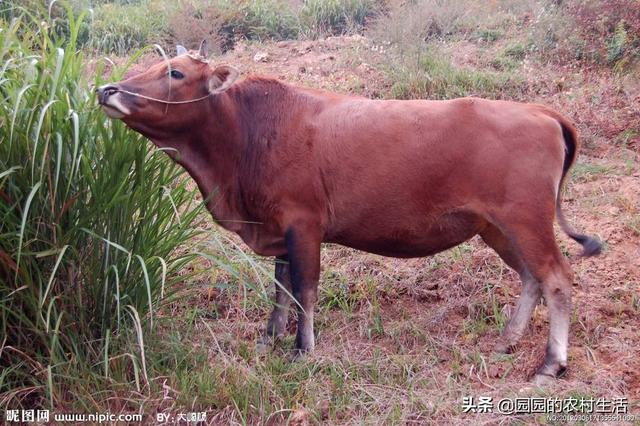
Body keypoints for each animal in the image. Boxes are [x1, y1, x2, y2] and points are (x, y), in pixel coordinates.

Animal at [96, 41, 600, 384]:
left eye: (175, 72)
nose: (107, 90)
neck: (245, 136)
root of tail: (540, 111)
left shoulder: (304, 223)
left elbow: (305, 289)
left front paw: (302, 349)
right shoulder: (279, 228)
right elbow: (281, 289)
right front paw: (270, 337)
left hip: (526, 219)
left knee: (557, 277)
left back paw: (550, 364)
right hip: (496, 228)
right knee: (531, 277)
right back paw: (507, 340)